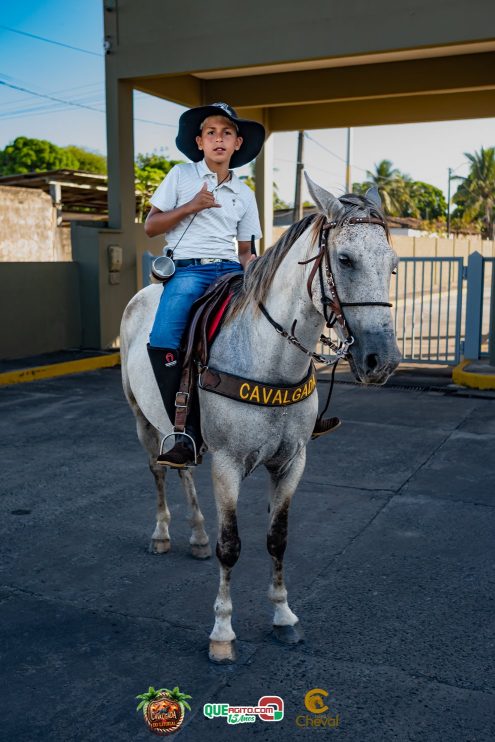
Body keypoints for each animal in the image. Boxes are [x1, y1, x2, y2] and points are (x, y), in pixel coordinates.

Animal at [121, 176, 404, 664]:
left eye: (392, 265)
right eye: (345, 259)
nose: (380, 360)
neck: (270, 358)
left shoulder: (292, 462)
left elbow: (277, 538)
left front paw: (283, 616)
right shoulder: (227, 465)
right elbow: (231, 546)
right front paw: (222, 631)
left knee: (181, 468)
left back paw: (196, 535)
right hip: (142, 419)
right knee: (158, 470)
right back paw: (162, 533)